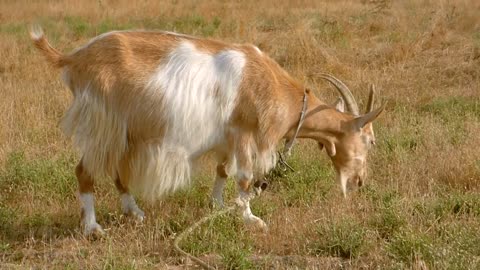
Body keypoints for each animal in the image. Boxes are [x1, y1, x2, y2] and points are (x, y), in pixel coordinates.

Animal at [30, 26, 384, 235]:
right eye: (370, 140)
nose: (360, 182)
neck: (276, 87)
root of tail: (73, 59)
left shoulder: (227, 137)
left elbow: (223, 170)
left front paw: (218, 205)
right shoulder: (244, 132)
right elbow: (244, 177)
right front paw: (250, 218)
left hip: (126, 130)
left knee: (117, 169)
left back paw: (136, 212)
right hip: (103, 124)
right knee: (85, 170)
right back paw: (93, 227)